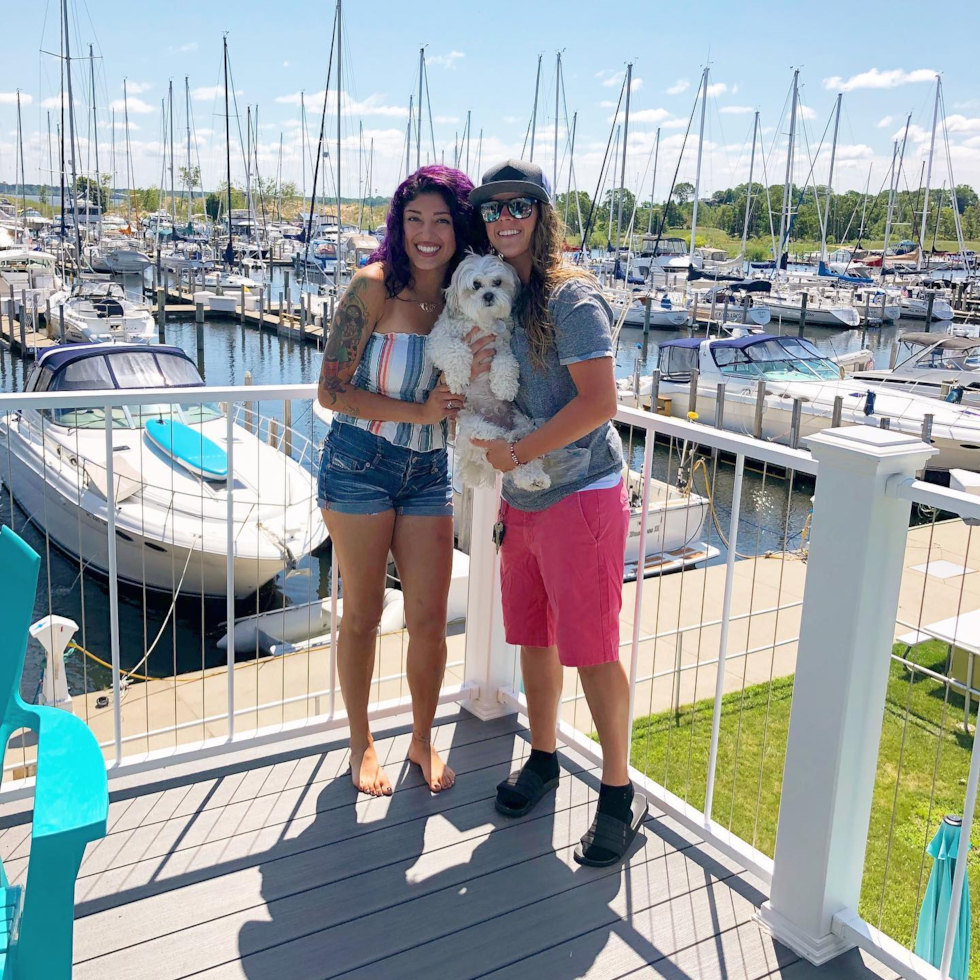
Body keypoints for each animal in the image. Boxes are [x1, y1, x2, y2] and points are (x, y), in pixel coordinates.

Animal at [428, 255, 552, 490]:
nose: (488, 295)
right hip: (472, 426)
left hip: (520, 417)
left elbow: (505, 362)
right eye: (475, 285)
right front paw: (458, 379)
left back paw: (533, 474)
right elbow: (455, 348)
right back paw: (510, 438)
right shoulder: (438, 339)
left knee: (520, 453)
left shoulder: (503, 345)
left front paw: (504, 388)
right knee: (492, 438)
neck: (482, 321)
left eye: (497, 282)